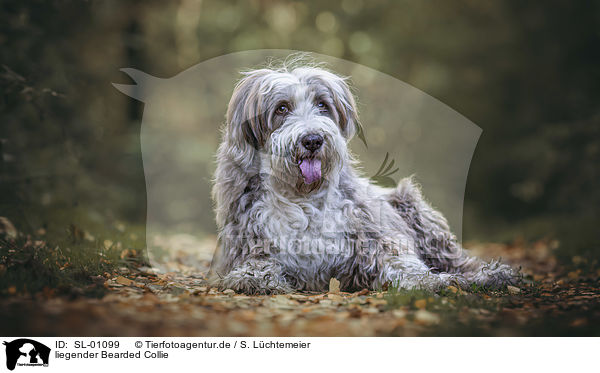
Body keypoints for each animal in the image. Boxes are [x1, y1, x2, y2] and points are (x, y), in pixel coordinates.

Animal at [209, 61, 516, 294]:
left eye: (322, 105)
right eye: (282, 108)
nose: (313, 140)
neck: (301, 196)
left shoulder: (374, 236)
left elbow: (401, 261)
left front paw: (431, 281)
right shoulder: (249, 242)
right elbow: (254, 267)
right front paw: (256, 279)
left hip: (415, 210)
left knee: (459, 260)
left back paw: (491, 274)